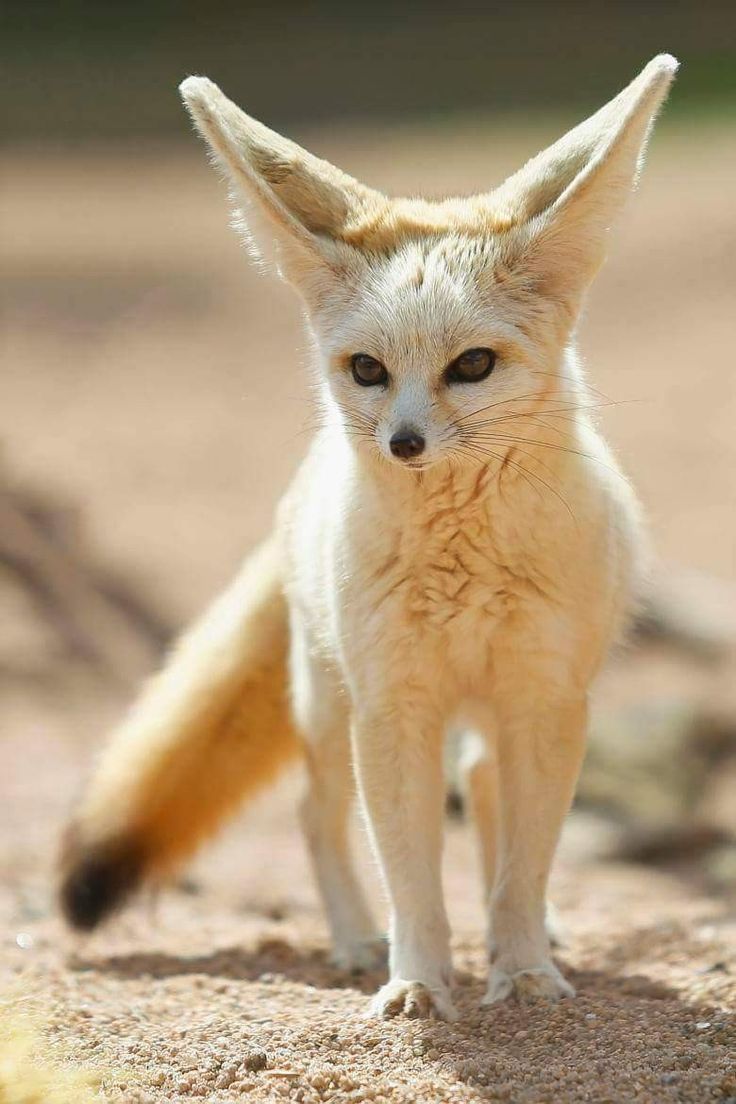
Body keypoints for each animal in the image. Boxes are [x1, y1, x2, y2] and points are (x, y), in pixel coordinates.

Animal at [59, 56, 679, 1020]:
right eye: (368, 371)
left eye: (472, 365)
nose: (405, 444)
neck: (463, 567)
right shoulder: (394, 706)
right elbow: (410, 873)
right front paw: (417, 982)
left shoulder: (545, 701)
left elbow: (524, 867)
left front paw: (524, 971)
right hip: (326, 705)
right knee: (316, 817)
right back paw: (356, 942)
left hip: (480, 719)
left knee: (486, 800)